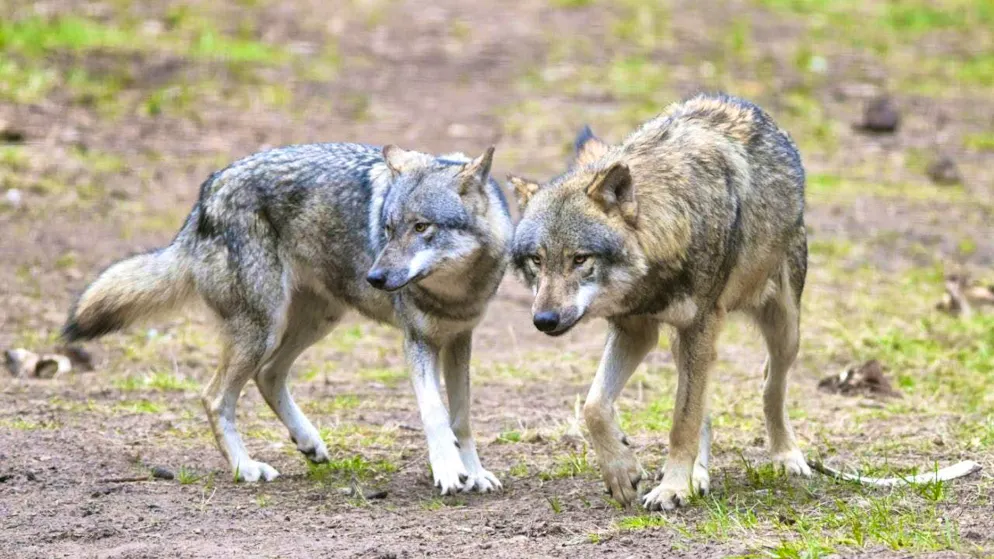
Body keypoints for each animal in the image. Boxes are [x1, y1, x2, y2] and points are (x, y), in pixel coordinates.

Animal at [63, 142, 512, 494]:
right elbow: (435, 414)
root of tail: (208, 191)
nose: (375, 277)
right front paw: (449, 472)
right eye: (387, 229)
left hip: (316, 321)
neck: (455, 291)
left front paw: (475, 473)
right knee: (214, 396)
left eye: (421, 227)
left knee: (268, 375)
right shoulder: (417, 342)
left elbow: (461, 419)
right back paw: (246, 468)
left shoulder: (459, 340)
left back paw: (308, 442)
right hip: (263, 330)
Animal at [508, 93, 810, 510]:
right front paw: (623, 472)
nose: (545, 320)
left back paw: (786, 456)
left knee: (770, 385)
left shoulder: (699, 326)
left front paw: (671, 488)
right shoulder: (635, 330)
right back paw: (699, 476)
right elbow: (594, 406)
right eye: (537, 260)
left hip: (783, 330)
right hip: (685, 343)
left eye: (580, 259)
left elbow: (682, 422)